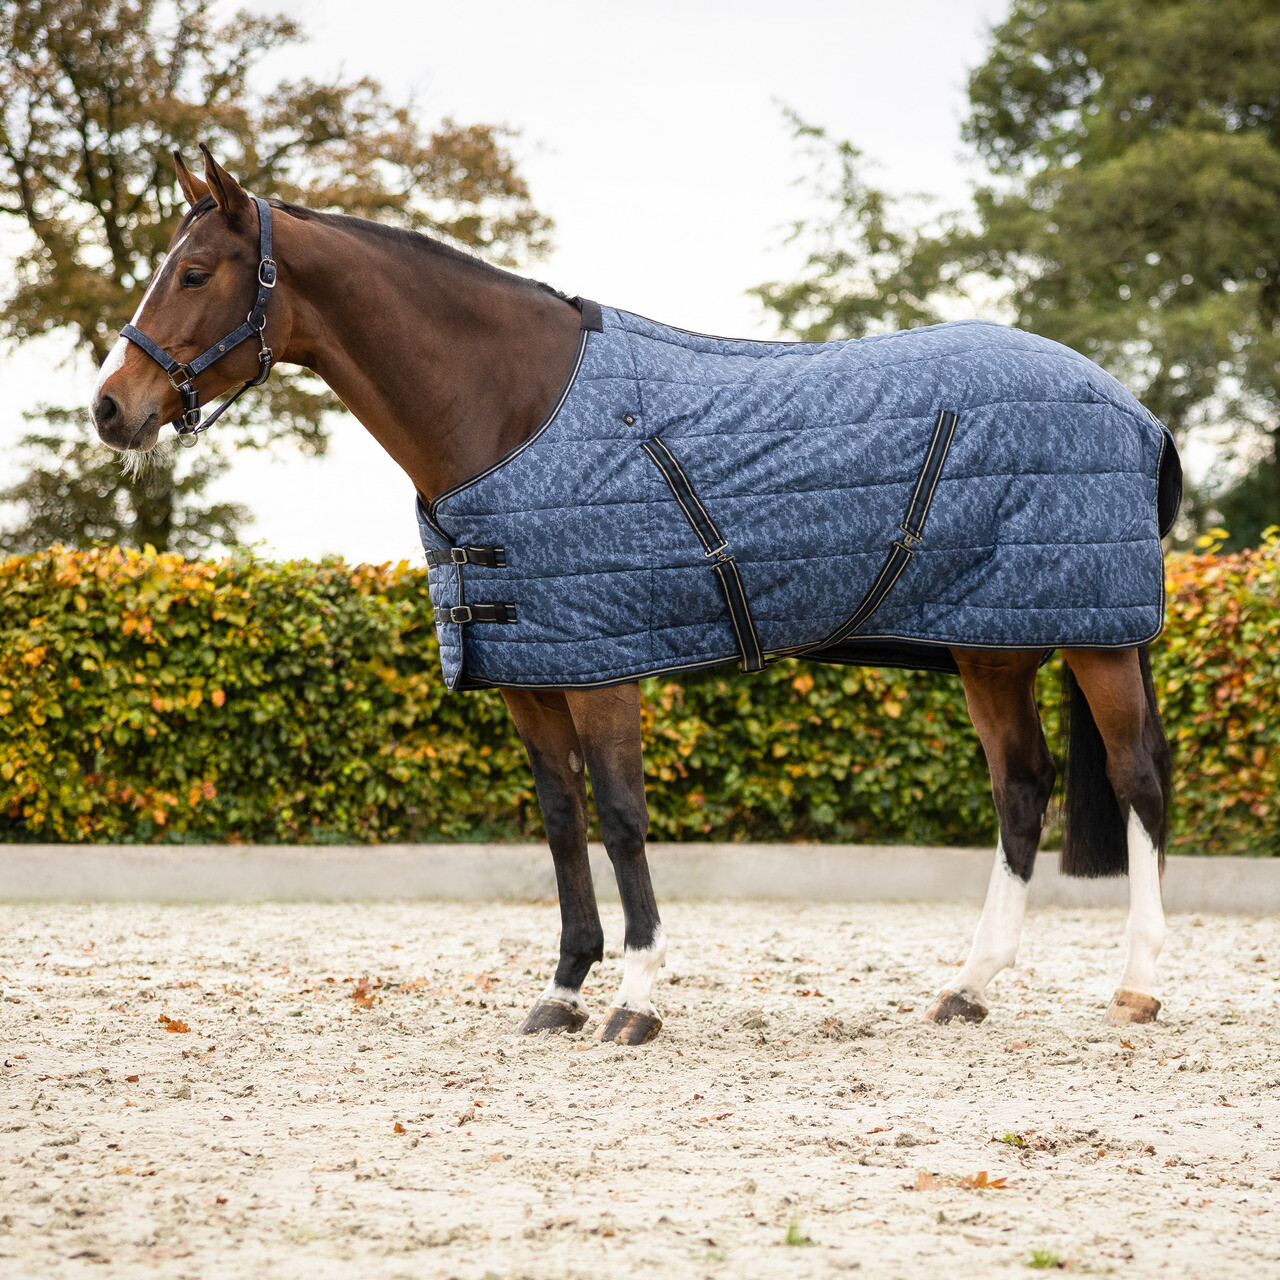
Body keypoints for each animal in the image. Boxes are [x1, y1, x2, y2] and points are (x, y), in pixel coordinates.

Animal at [89, 147, 1176, 1045]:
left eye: (195, 272)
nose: (110, 407)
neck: (514, 409)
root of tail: (1131, 406)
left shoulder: (605, 663)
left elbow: (618, 815)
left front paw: (636, 996)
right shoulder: (530, 669)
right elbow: (561, 818)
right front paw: (564, 988)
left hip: (1096, 639)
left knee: (1136, 783)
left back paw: (1135, 986)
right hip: (994, 642)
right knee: (1020, 786)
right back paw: (968, 986)